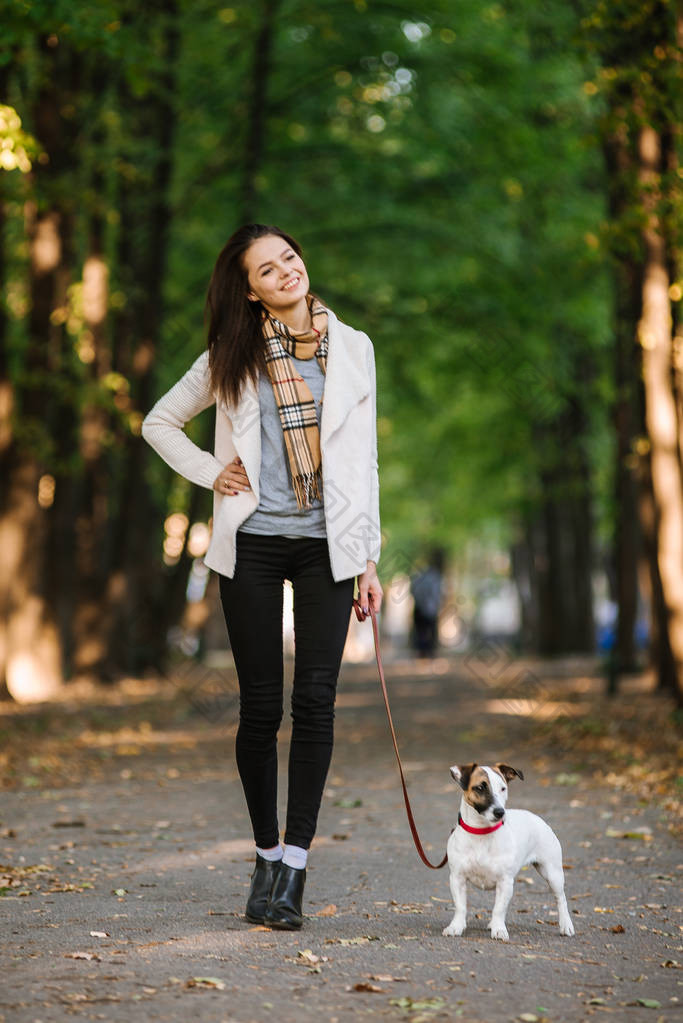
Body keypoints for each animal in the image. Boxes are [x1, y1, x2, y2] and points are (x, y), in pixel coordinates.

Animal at [443, 761, 576, 941]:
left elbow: (499, 909)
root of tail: (536, 817)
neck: (482, 833)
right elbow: (460, 907)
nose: (500, 812)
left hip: (552, 873)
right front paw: (456, 926)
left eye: (503, 788)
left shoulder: (505, 881)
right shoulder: (457, 878)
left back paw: (566, 925)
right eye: (480, 787)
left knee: (560, 898)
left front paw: (499, 929)